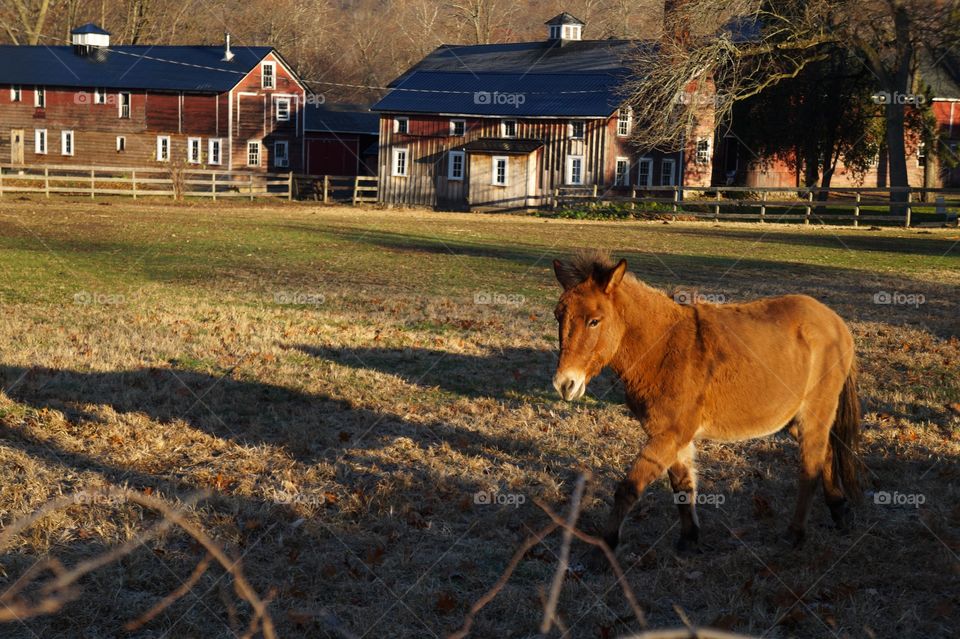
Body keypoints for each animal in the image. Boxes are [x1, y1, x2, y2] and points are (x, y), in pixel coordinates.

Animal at [552, 252, 860, 552]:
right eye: (558, 316)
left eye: (594, 320)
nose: (564, 384)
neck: (663, 349)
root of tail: (834, 321)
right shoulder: (671, 437)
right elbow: (682, 485)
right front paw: (689, 539)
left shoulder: (669, 435)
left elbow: (629, 488)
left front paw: (606, 546)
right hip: (795, 420)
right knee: (827, 452)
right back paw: (839, 510)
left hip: (813, 414)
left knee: (810, 467)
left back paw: (796, 534)